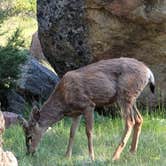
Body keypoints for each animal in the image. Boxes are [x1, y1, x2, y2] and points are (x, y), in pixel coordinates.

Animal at [19, 57, 154, 161]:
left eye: (29, 136)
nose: (29, 153)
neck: (64, 100)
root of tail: (149, 73)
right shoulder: (76, 113)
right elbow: (72, 133)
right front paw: (67, 156)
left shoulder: (88, 105)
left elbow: (89, 131)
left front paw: (91, 157)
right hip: (132, 98)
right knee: (139, 119)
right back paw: (131, 153)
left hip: (125, 94)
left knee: (129, 122)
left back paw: (114, 156)